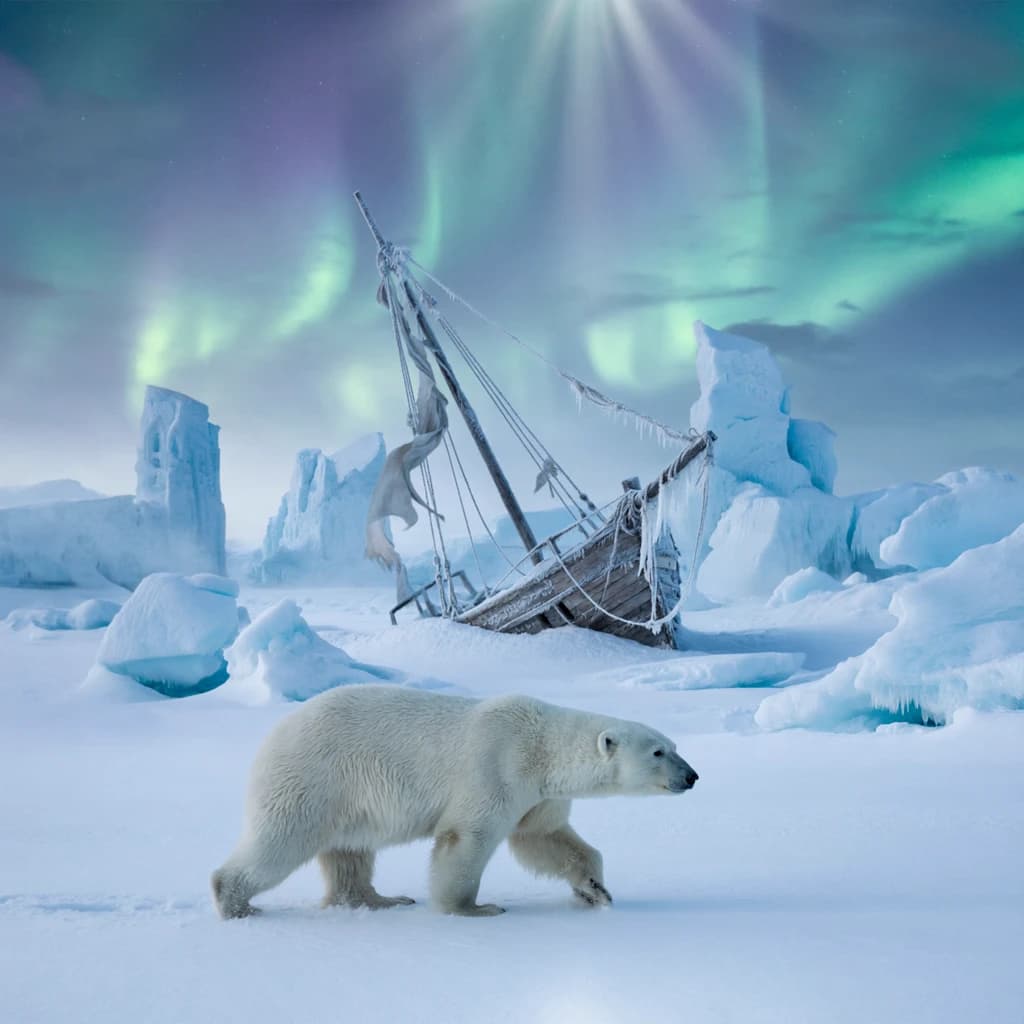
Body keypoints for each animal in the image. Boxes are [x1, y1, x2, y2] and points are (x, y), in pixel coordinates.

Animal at [211, 685, 698, 918]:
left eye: (674, 745)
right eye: (659, 752)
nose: (692, 776)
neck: (540, 745)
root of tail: (271, 737)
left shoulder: (537, 795)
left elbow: (545, 838)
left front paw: (596, 890)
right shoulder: (495, 766)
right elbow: (466, 838)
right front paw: (473, 908)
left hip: (346, 796)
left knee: (350, 852)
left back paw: (382, 899)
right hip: (314, 778)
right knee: (280, 840)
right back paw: (235, 902)